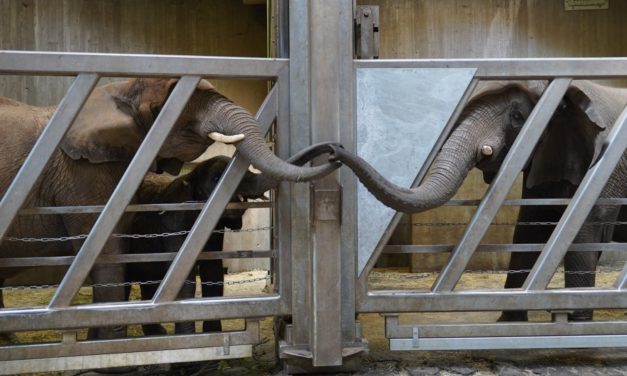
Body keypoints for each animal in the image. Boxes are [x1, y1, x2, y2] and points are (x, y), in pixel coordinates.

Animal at [129, 142, 340, 336]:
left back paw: (157, 333)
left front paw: (213, 335)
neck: (189, 177)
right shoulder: (175, 224)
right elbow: (183, 279)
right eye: (216, 179)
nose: (334, 151)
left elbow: (213, 271)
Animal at [326, 80, 627, 320]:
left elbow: (583, 232)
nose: (332, 150)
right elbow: (528, 229)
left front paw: (576, 323)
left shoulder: (602, 167)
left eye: (517, 116)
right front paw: (509, 325)